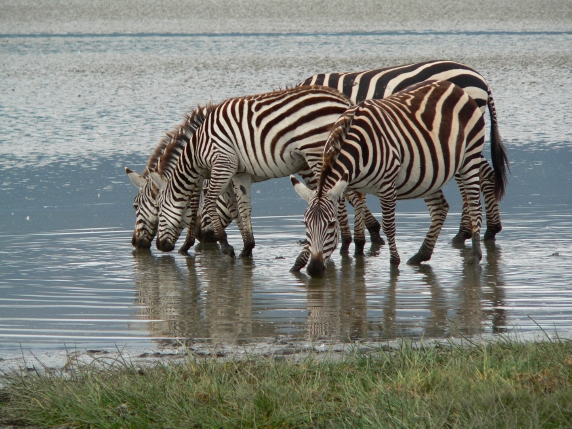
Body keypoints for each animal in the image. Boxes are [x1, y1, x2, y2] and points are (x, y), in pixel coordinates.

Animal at [150, 85, 355, 258]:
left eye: (158, 209)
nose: (160, 246)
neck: (198, 149)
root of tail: (344, 100)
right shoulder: (240, 173)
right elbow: (243, 207)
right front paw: (247, 247)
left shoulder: (223, 162)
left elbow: (209, 201)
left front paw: (226, 245)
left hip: (317, 151)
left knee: (335, 197)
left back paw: (342, 243)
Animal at [291, 80, 509, 277]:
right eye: (305, 224)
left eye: (330, 224)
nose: (314, 269)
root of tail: (456, 88)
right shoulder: (354, 186)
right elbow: (358, 223)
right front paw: (301, 263)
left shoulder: (387, 185)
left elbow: (388, 227)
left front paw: (394, 262)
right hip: (430, 173)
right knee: (440, 207)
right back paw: (422, 255)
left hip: (469, 157)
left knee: (474, 204)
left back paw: (475, 256)